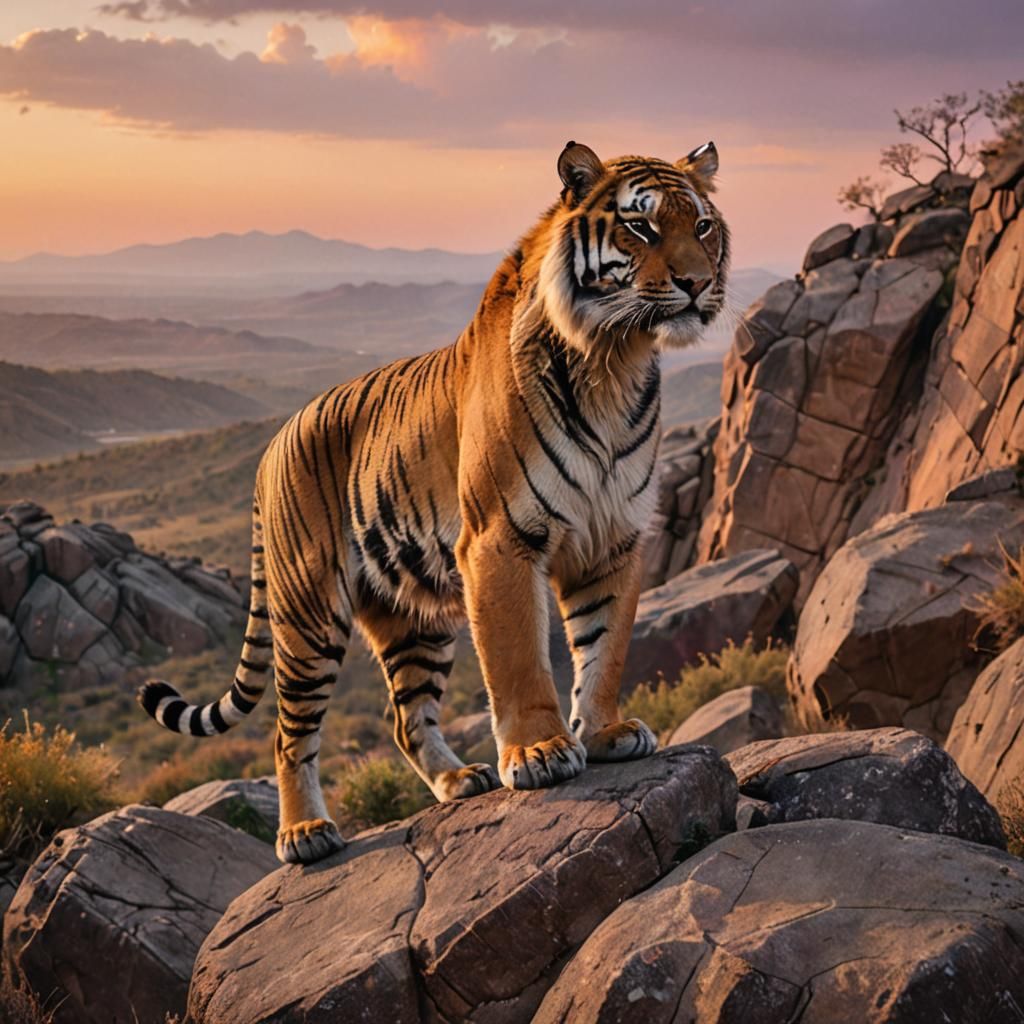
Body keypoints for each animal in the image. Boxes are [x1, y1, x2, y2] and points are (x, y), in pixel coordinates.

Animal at [139, 140, 729, 864]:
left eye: (701, 226)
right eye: (640, 226)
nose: (697, 283)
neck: (614, 361)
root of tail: (274, 442)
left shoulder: (612, 542)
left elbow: (604, 649)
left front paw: (606, 734)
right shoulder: (501, 539)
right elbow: (518, 657)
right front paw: (540, 752)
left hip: (413, 617)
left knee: (404, 717)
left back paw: (458, 781)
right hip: (308, 615)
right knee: (288, 734)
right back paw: (304, 834)